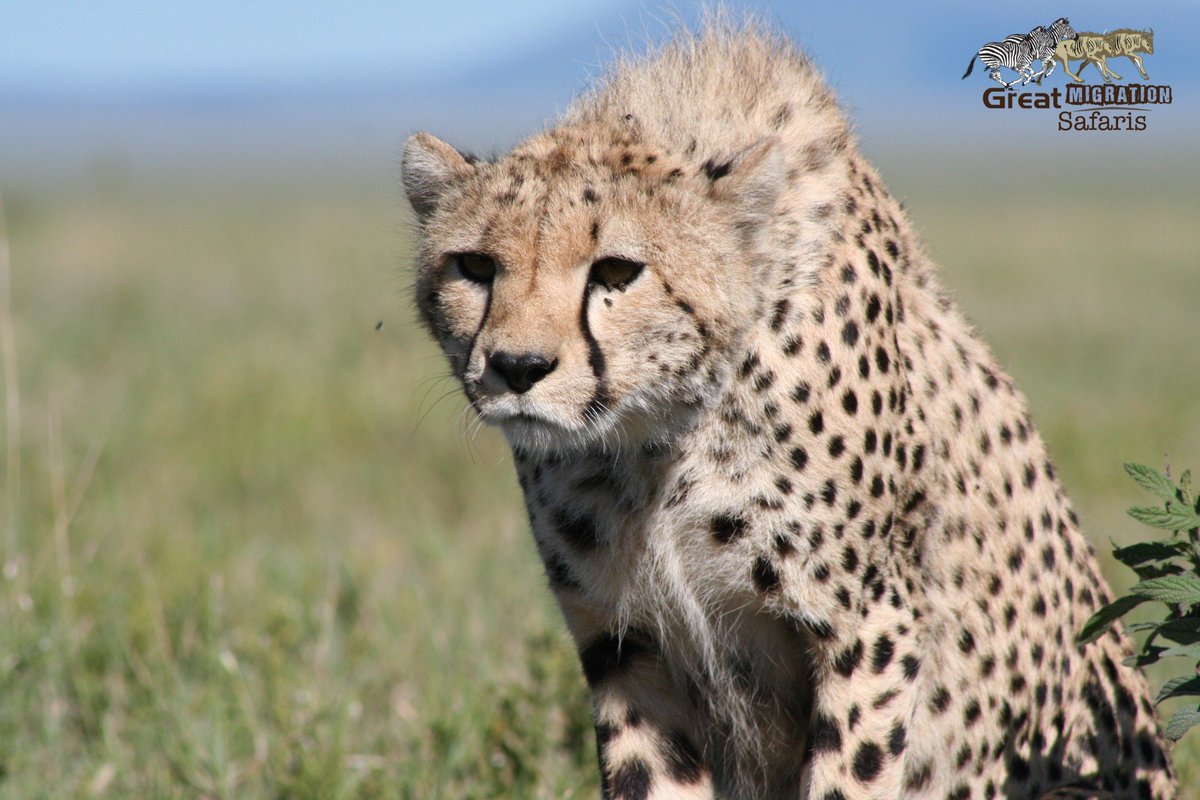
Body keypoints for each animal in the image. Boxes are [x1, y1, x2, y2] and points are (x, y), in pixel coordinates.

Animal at [398, 17, 1176, 800]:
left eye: (616, 271)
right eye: (475, 267)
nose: (517, 367)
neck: (657, 438)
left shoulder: (868, 626)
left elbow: (847, 776)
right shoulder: (626, 643)